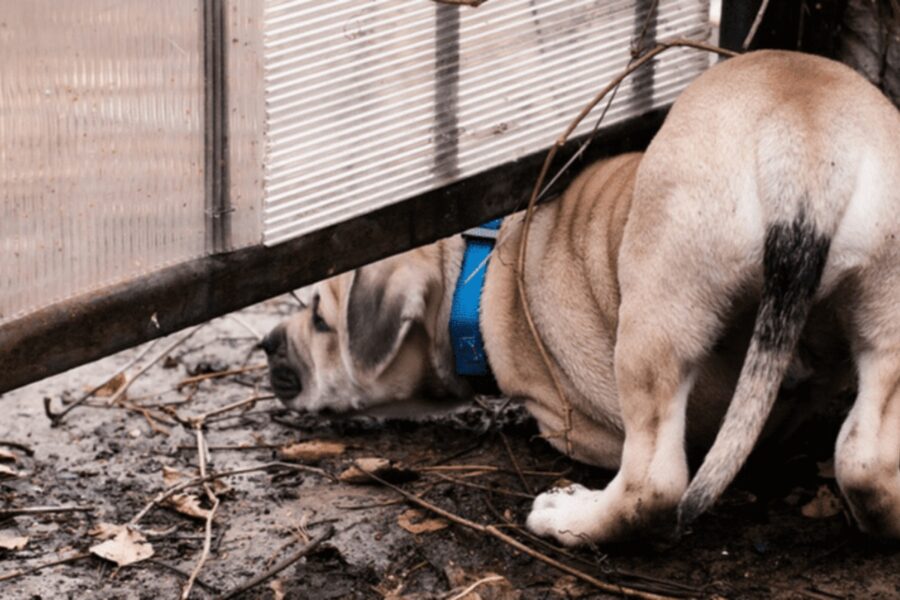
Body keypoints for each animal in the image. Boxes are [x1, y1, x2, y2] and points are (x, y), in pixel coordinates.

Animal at [264, 51, 896, 548]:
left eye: (320, 320)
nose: (267, 342)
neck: (477, 269)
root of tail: (806, 141)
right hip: (884, 311)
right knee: (864, 458)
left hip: (657, 315)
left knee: (652, 482)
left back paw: (568, 519)